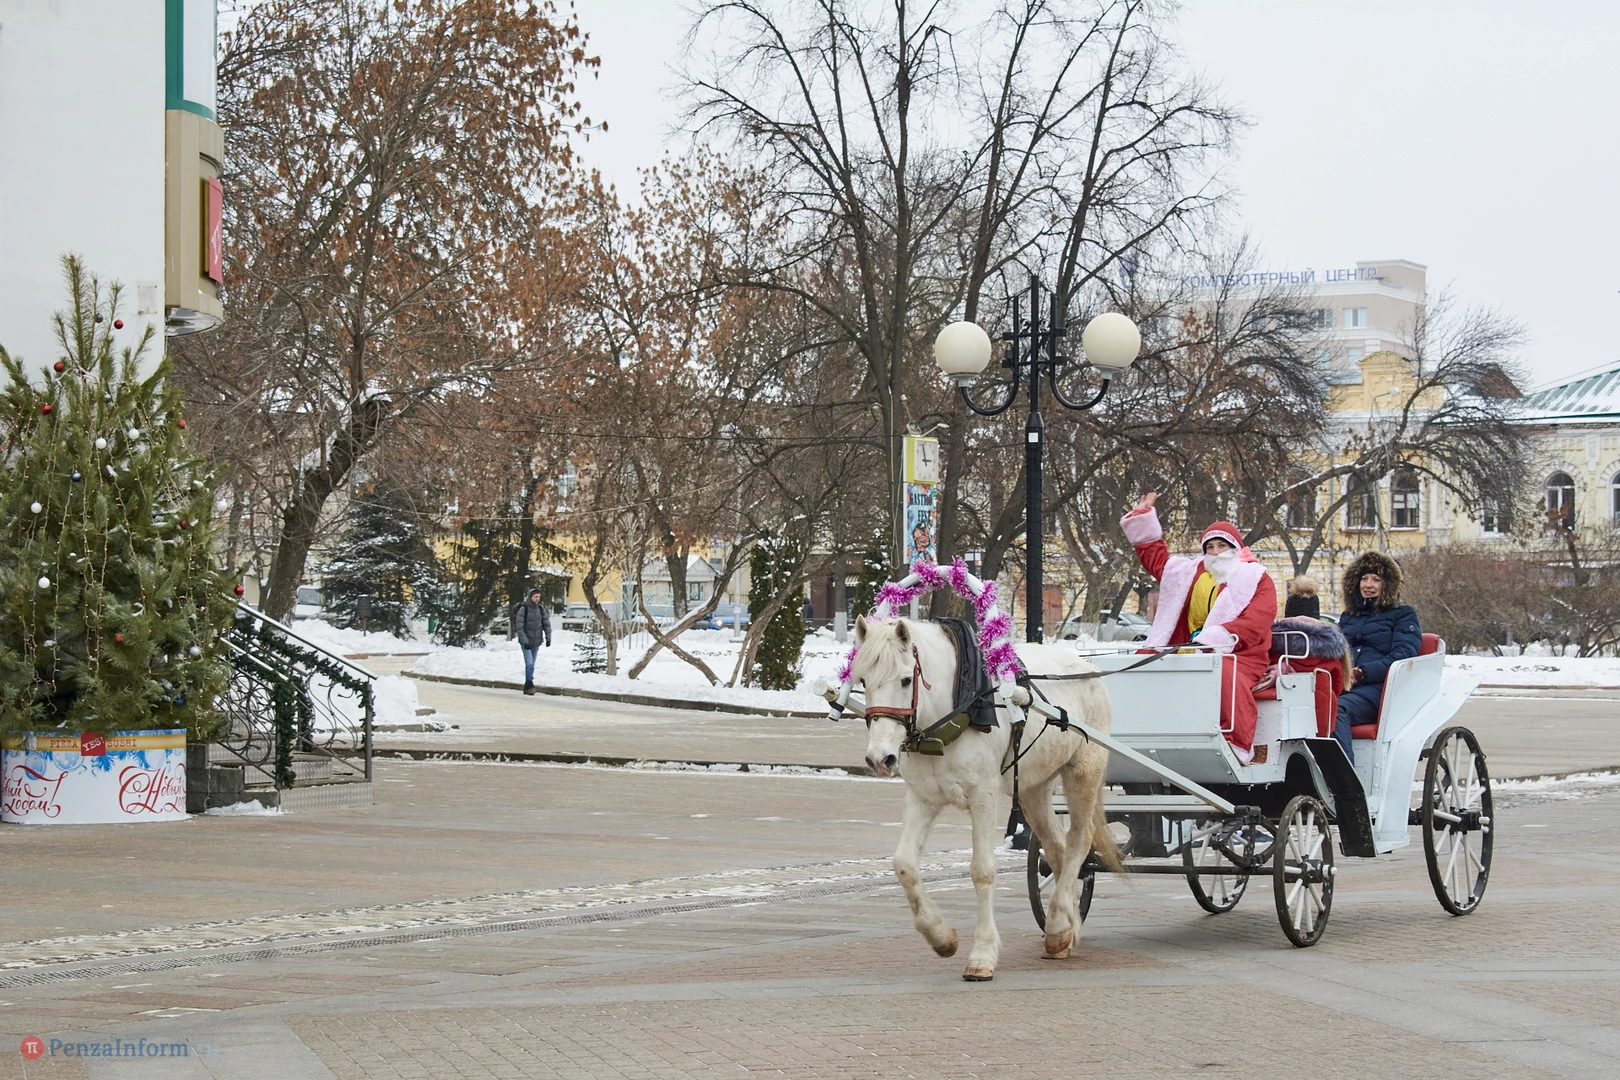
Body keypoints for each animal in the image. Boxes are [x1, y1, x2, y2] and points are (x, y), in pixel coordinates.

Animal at [851, 615, 1121, 981]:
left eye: (906, 679)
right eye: (863, 680)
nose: (880, 759)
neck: (958, 707)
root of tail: (1086, 667)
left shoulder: (983, 796)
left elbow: (982, 871)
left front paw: (982, 955)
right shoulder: (922, 798)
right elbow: (904, 865)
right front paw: (940, 936)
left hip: (1084, 771)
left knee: (1079, 842)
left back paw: (1059, 919)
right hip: (1034, 787)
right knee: (1058, 850)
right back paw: (1062, 928)